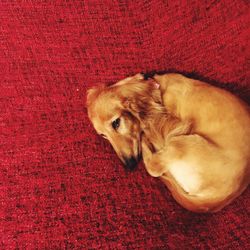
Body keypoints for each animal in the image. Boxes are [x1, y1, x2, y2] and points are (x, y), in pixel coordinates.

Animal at [86, 73, 250, 212]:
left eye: (116, 123)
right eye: (103, 135)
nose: (130, 165)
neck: (157, 92)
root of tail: (216, 200)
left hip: (185, 142)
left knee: (154, 167)